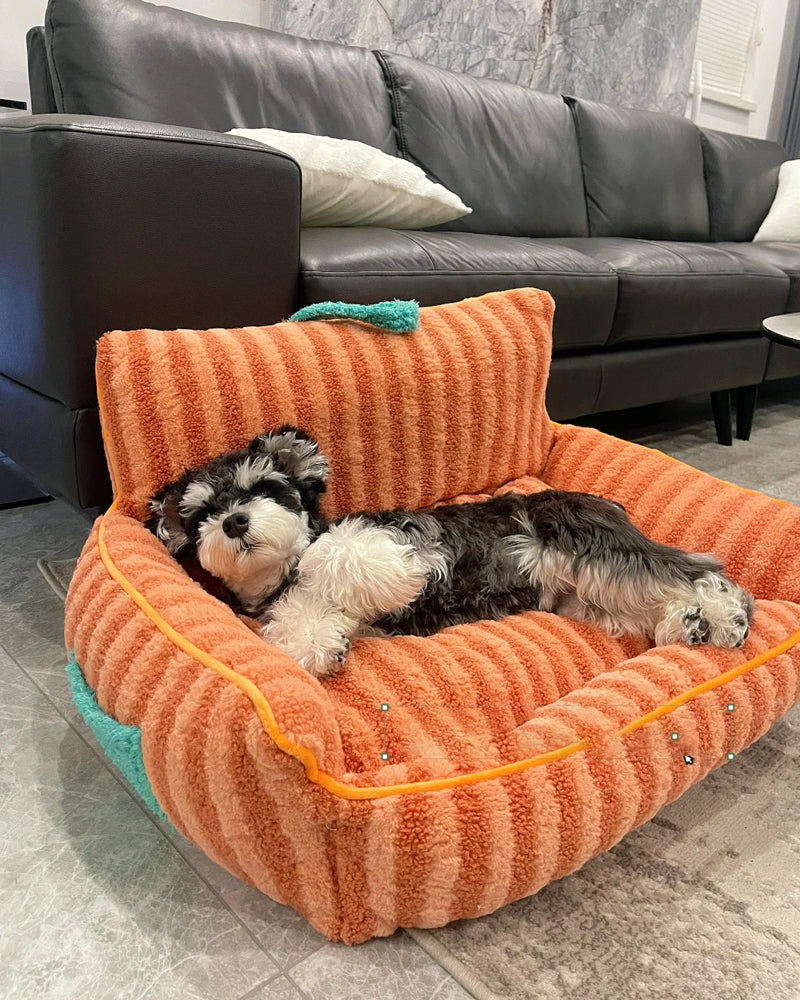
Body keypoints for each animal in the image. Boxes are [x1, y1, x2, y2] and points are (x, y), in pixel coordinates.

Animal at [147, 426, 752, 676]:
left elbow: (344, 555)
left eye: (265, 488)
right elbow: (300, 621)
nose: (234, 521)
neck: (283, 571)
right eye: (200, 514)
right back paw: (690, 622)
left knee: (694, 570)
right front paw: (317, 641)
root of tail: (603, 502)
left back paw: (725, 616)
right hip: (587, 597)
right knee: (653, 602)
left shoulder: (402, 537)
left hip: (595, 551)